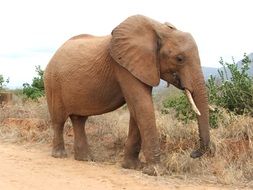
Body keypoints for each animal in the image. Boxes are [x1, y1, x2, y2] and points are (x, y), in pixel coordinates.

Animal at [44, 14, 211, 175]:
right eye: (179, 59)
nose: (193, 153)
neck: (159, 29)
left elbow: (136, 110)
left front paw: (132, 167)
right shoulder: (123, 66)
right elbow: (142, 106)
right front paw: (155, 171)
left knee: (79, 120)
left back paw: (85, 159)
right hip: (53, 82)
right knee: (59, 120)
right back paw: (60, 155)